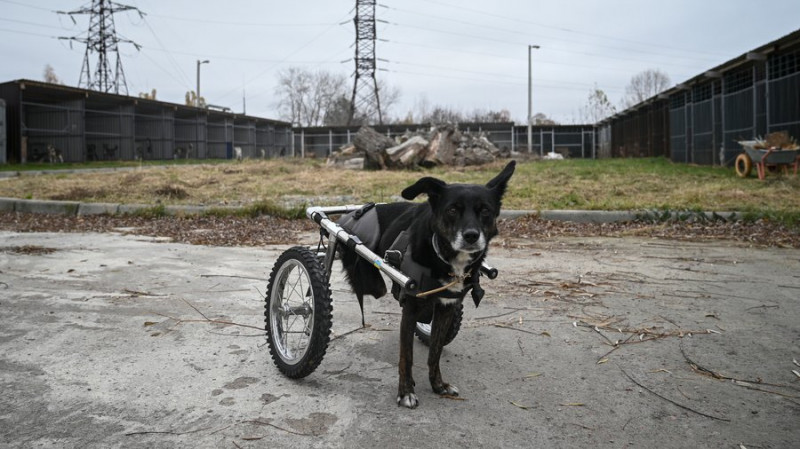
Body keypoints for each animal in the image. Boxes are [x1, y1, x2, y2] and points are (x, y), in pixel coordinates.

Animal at [340, 160, 516, 406]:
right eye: (452, 209)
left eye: (485, 211)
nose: (471, 236)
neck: (443, 256)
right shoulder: (410, 309)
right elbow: (406, 357)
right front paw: (405, 391)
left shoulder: (446, 307)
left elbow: (435, 352)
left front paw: (438, 385)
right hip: (368, 278)